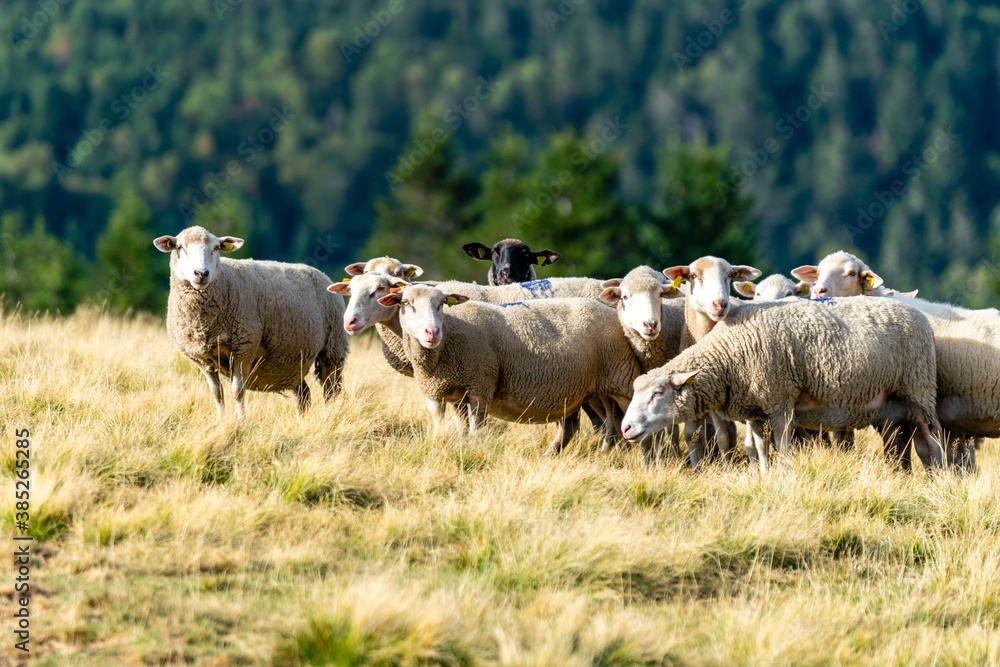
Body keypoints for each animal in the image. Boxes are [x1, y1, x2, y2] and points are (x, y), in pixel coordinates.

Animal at [153, 226, 347, 417]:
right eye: (180, 247)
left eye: (216, 248)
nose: (201, 273)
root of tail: (322, 274)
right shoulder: (203, 359)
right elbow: (217, 394)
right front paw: (222, 421)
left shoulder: (243, 349)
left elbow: (237, 391)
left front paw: (242, 421)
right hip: (290, 363)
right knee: (303, 395)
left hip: (333, 349)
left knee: (332, 391)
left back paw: (332, 415)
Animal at [376, 284, 642, 455]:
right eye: (406, 303)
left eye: (441, 303)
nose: (432, 332)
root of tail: (612, 312)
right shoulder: (449, 394)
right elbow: (456, 429)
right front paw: (457, 446)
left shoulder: (480, 386)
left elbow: (476, 429)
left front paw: (474, 451)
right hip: (585, 390)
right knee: (590, 426)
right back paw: (563, 456)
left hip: (620, 378)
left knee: (622, 420)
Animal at [621, 297, 944, 472]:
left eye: (658, 393)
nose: (626, 428)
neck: (730, 353)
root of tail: (918, 313)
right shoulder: (754, 410)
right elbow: (760, 448)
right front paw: (765, 475)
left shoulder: (780, 400)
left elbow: (784, 447)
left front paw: (785, 476)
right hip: (890, 405)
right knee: (900, 444)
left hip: (919, 389)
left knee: (932, 442)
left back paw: (939, 477)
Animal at [661, 256, 761, 468]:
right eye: (693, 276)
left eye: (730, 275)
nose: (720, 304)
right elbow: (708, 436)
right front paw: (710, 468)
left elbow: (736, 438)